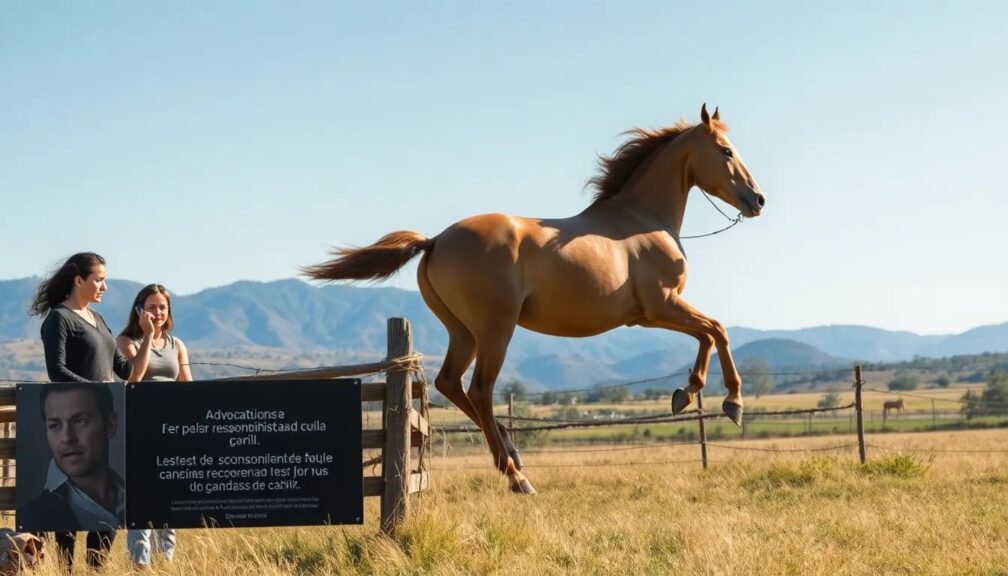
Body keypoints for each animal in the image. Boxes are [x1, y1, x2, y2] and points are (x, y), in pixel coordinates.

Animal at [304, 104, 765, 494]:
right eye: (725, 150)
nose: (757, 200)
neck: (641, 222)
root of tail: (435, 241)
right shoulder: (662, 305)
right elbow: (718, 330)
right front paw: (729, 402)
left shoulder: (649, 315)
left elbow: (707, 334)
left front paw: (685, 394)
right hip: (496, 330)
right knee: (480, 389)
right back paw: (516, 477)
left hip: (463, 332)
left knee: (451, 383)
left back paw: (513, 455)